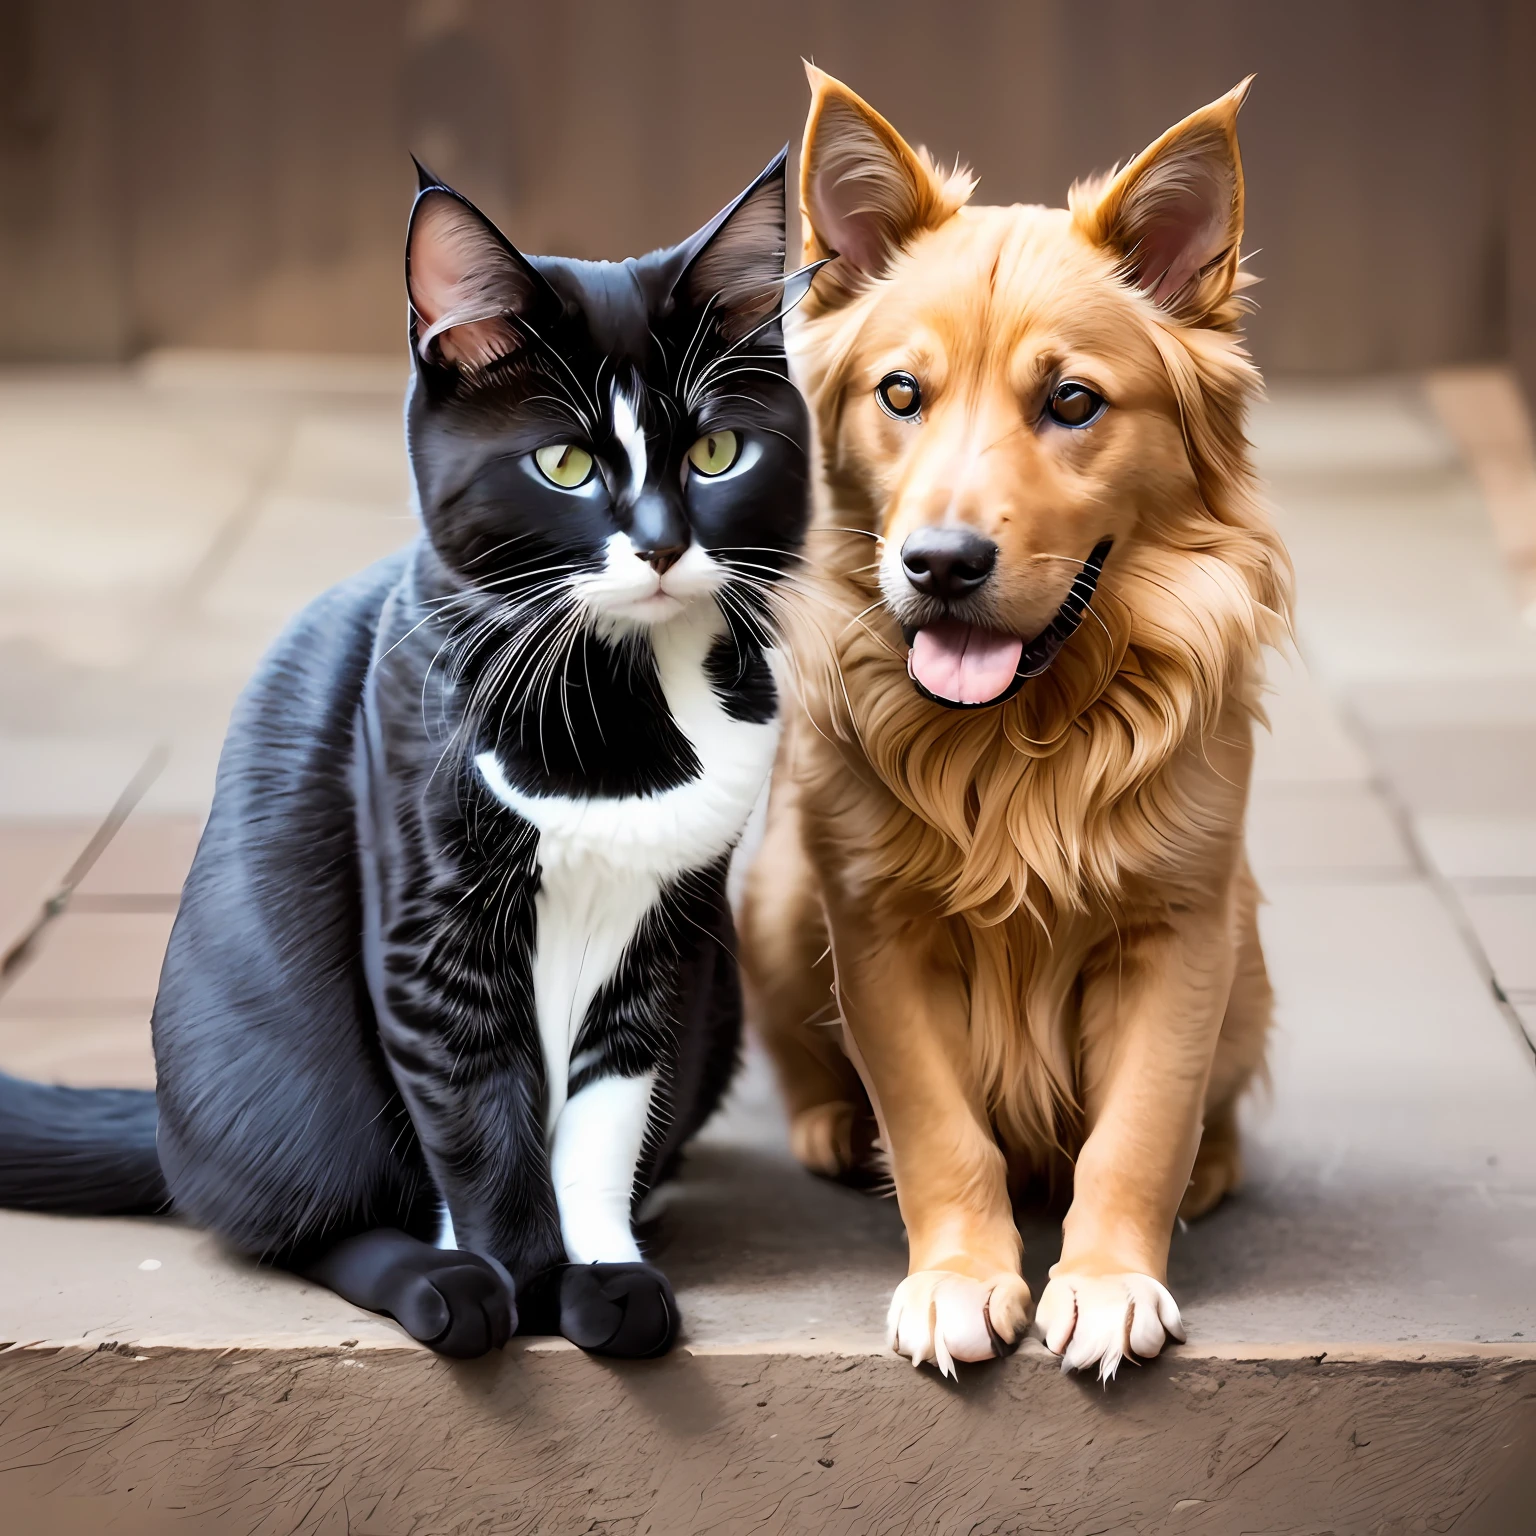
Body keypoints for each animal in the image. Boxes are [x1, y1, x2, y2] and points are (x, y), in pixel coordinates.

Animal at [0, 149, 817, 1363]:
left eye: (718, 451)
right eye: (566, 463)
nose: (666, 545)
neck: (627, 694)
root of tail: (163, 1121)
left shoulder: (665, 945)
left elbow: (602, 1123)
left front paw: (605, 1275)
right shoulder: (432, 930)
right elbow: (483, 1128)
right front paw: (529, 1286)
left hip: (715, 1017)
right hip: (274, 1071)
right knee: (285, 1217)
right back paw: (436, 1283)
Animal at [737, 66, 1290, 1382]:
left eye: (1073, 400)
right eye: (900, 392)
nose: (940, 564)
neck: (1020, 732)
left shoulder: (1182, 931)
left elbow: (1140, 1131)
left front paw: (1106, 1282)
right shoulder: (875, 931)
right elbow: (939, 1130)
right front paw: (956, 1278)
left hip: (1250, 955)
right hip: (777, 899)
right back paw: (827, 1125)